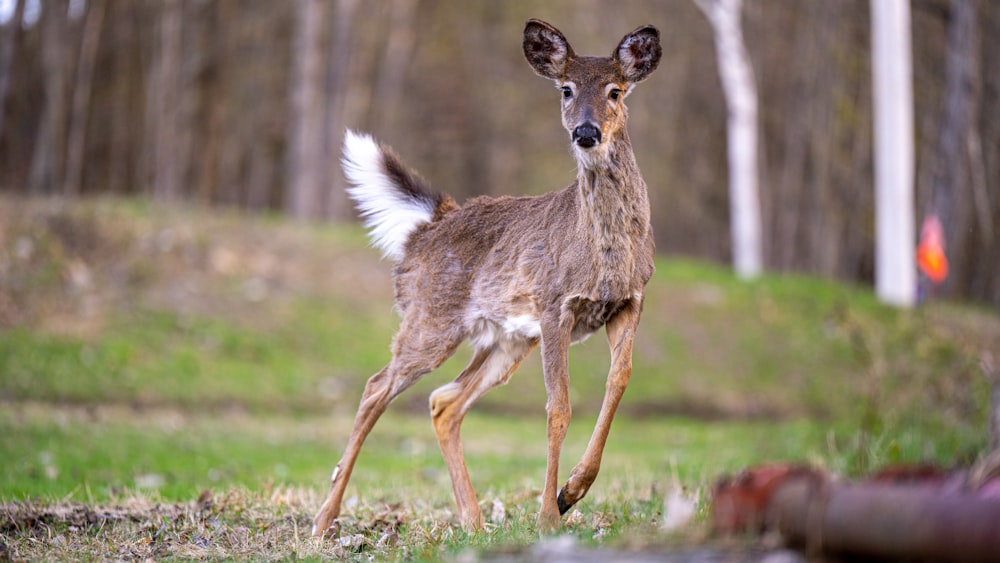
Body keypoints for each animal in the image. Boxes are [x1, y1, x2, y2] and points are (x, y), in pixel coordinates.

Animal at [308, 18, 660, 536]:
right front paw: (549, 515)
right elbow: (558, 407)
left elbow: (619, 382)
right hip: (431, 319)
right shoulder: (555, 304)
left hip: (505, 339)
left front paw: (572, 491)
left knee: (444, 401)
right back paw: (323, 519)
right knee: (377, 387)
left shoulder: (629, 301)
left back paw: (473, 523)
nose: (586, 132)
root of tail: (431, 223)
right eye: (566, 89)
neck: (606, 255)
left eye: (615, 90)